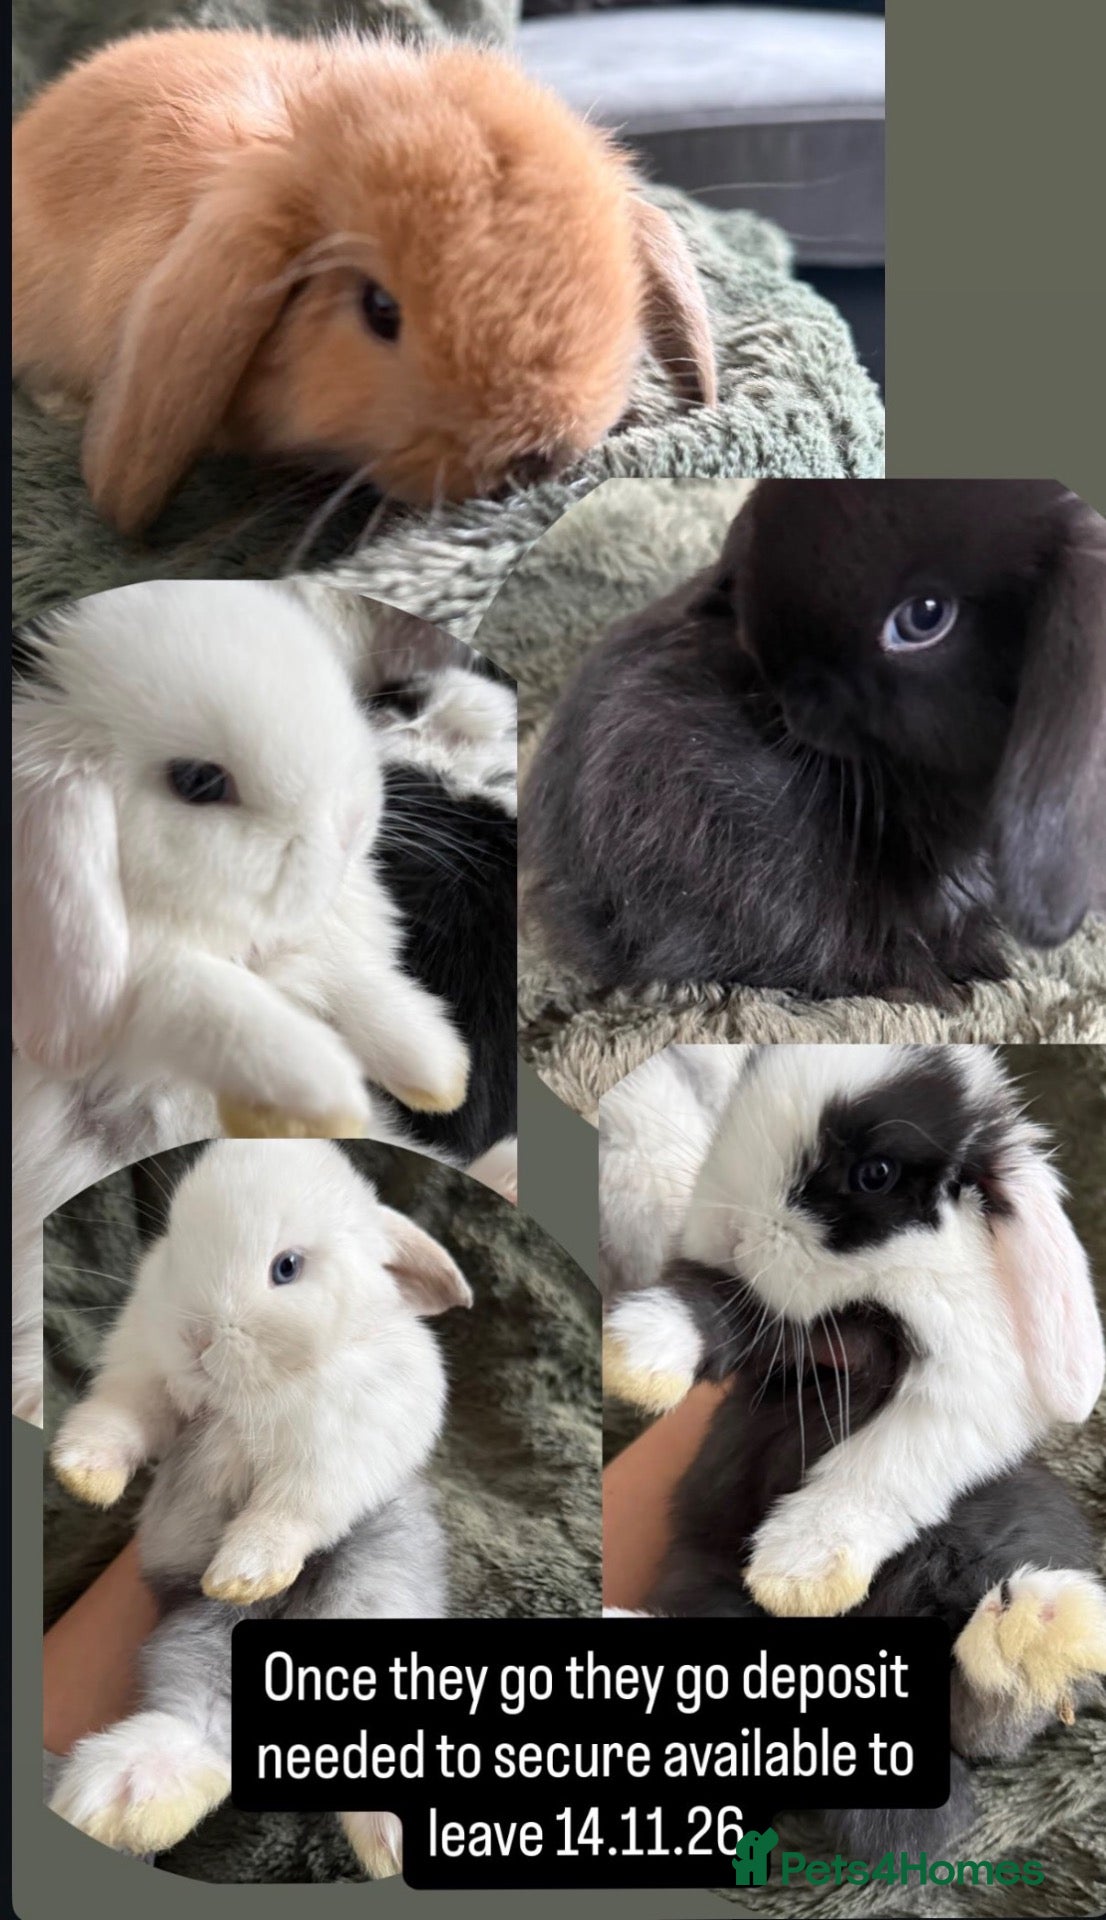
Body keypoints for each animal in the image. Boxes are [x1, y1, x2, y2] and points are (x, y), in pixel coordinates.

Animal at [12, 579, 470, 1423]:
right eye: (198, 781)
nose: (353, 823)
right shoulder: (136, 1004)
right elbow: (208, 1001)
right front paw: (325, 1095)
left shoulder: (306, 952)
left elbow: (352, 986)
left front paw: (437, 1070)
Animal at [47, 1138, 472, 1876]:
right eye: (175, 1243)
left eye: (287, 1267)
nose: (194, 1335)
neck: (251, 1387)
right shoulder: (142, 1378)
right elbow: (122, 1419)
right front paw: (83, 1477)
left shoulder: (342, 1445)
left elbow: (289, 1509)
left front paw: (243, 1573)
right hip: (196, 1638)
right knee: (204, 1729)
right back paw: (126, 1797)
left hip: (372, 1594)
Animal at [602, 1045, 1106, 1619]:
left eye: (875, 1174)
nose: (731, 1234)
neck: (867, 1291)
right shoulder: (775, 1324)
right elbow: (707, 1304)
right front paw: (635, 1353)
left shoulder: (959, 1393)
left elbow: (878, 1463)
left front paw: (797, 1574)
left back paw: (1040, 1621)